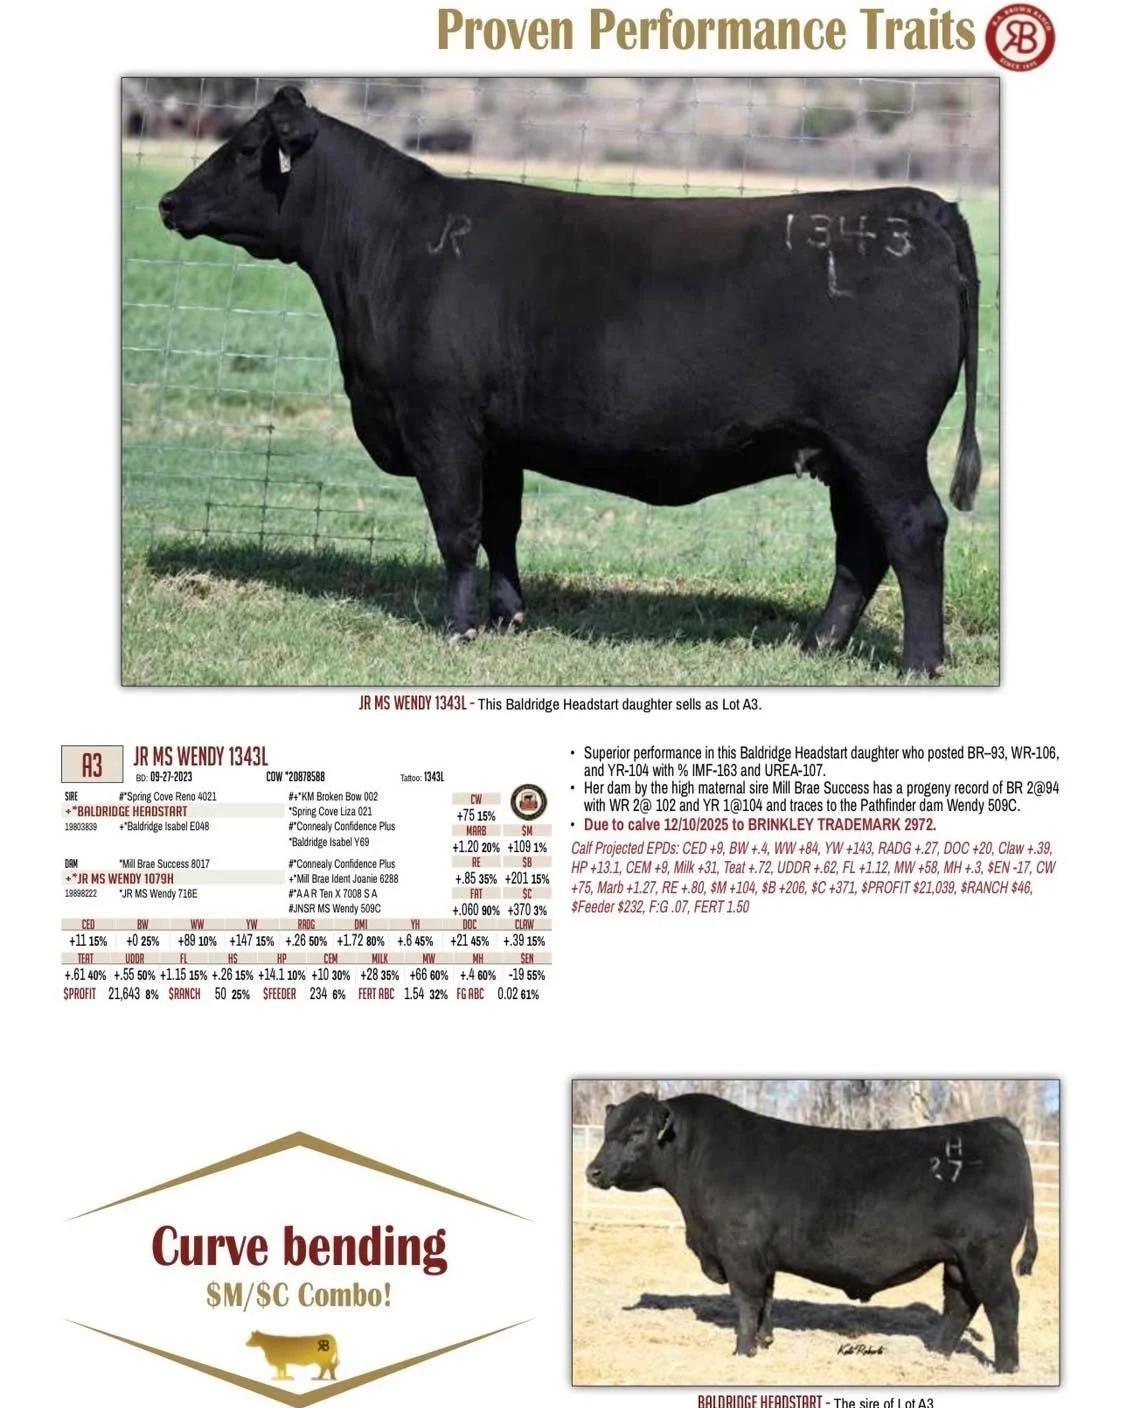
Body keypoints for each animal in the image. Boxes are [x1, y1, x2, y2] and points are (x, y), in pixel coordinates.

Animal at [158, 86, 983, 675]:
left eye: (244, 149)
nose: (167, 202)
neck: (389, 247)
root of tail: (918, 205)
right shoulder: (497, 439)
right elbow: (501, 526)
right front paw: (509, 617)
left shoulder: (438, 420)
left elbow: (456, 529)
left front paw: (457, 629)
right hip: (843, 450)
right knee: (861, 546)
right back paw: (815, 646)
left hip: (881, 441)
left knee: (914, 530)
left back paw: (919, 663)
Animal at [585, 1092, 1037, 1372]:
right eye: (608, 1129)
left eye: (637, 1132)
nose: (593, 1171)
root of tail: (998, 1125)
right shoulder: (761, 1256)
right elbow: (766, 1300)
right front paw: (764, 1342)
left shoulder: (739, 1251)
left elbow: (746, 1301)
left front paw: (743, 1351)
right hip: (959, 1260)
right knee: (960, 1303)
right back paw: (938, 1355)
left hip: (987, 1255)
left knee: (1004, 1305)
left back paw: (1006, 1367)